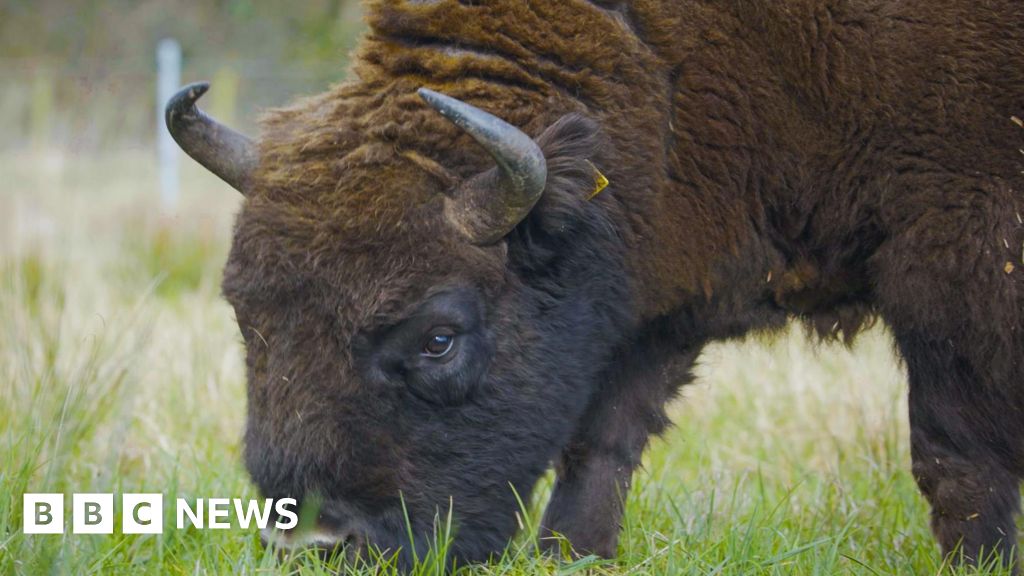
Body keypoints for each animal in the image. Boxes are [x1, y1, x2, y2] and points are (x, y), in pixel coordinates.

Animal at [165, 0, 1024, 571]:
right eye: (247, 319)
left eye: (439, 336)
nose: (315, 542)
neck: (655, 57)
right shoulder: (642, 305)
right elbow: (601, 441)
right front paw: (570, 552)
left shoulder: (961, 253)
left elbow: (955, 458)